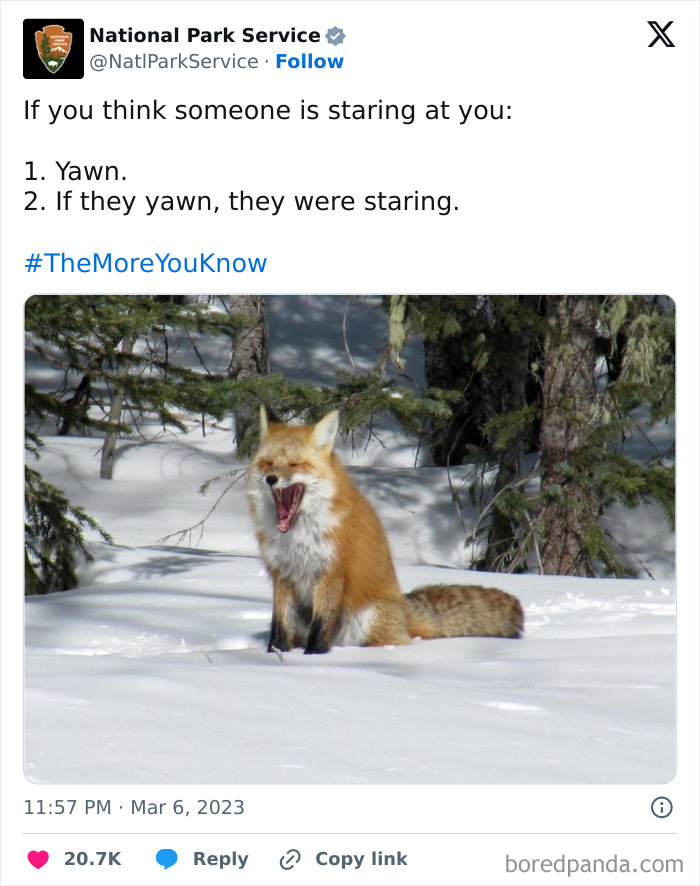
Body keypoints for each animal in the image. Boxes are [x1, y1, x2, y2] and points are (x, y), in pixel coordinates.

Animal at [246, 408, 524, 654]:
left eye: (295, 464)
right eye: (267, 463)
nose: (271, 479)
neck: (297, 537)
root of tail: (403, 609)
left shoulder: (330, 572)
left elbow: (321, 623)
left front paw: (314, 655)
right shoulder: (282, 574)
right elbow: (279, 624)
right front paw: (275, 653)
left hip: (368, 619)